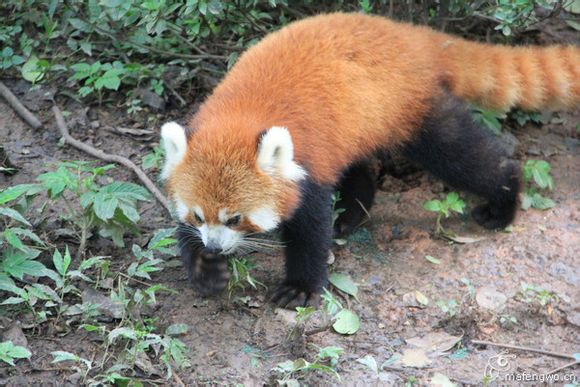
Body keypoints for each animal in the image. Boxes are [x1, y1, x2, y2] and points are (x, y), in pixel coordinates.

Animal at [160, 12, 580, 310]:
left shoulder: (307, 165)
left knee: (461, 156)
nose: (215, 247)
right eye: (199, 216)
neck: (242, 116)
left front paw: (300, 288)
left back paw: (503, 200)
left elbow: (310, 231)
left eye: (235, 218)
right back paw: (351, 215)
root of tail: (412, 36)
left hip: (414, 110)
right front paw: (203, 268)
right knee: (359, 169)